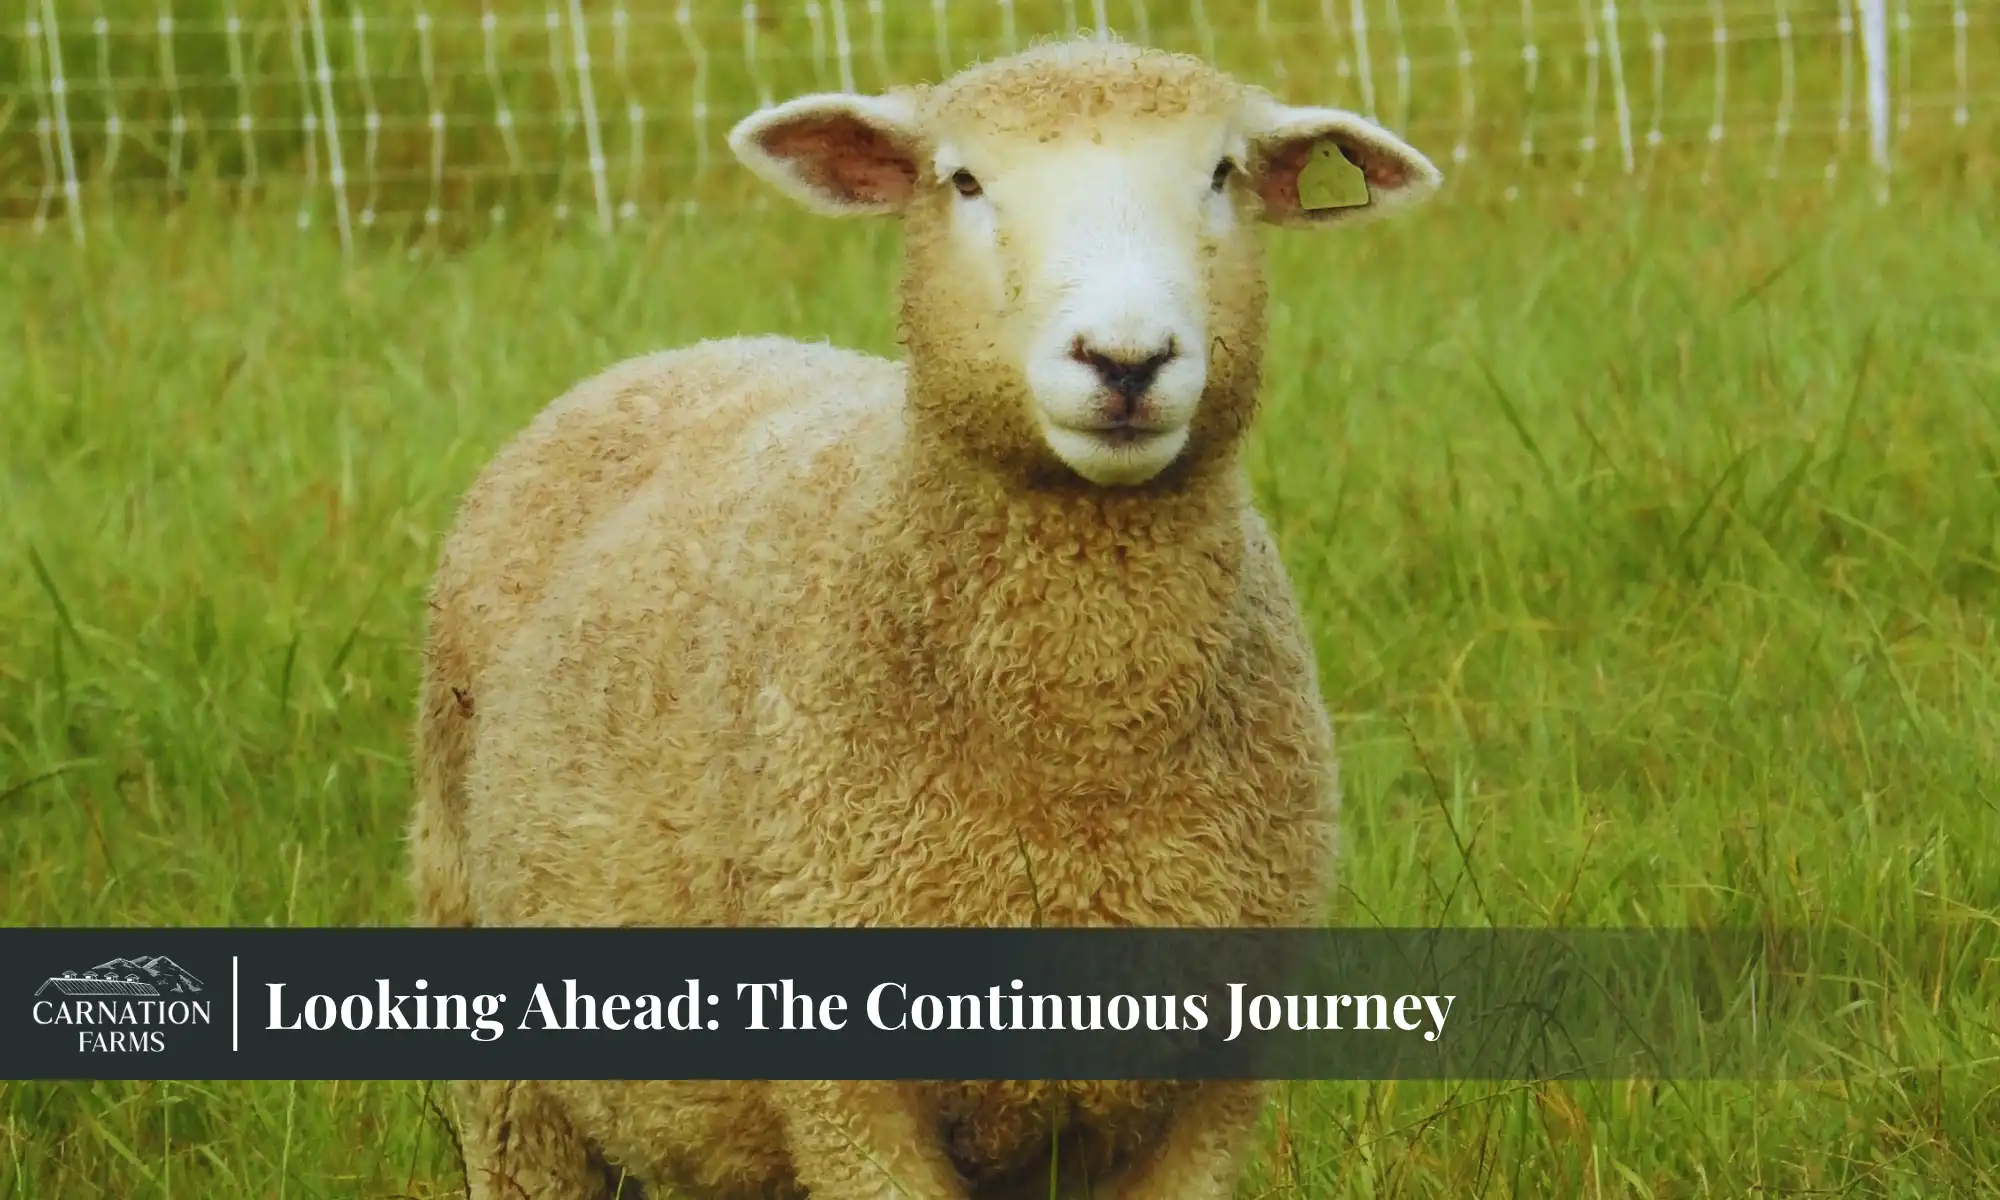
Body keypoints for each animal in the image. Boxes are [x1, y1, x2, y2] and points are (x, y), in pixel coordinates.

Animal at [407, 34, 1441, 1200]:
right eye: (964, 181)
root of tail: (678, 353)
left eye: (1220, 174)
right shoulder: (849, 1086)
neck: (1079, 760)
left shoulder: (1209, 1090)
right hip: (493, 1024)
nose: (1124, 358)